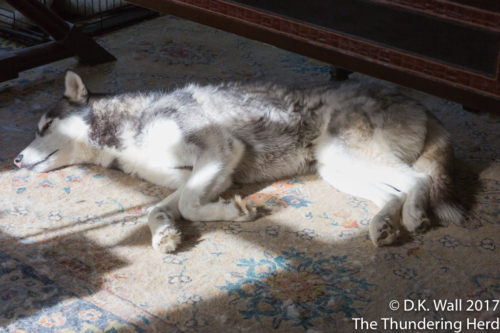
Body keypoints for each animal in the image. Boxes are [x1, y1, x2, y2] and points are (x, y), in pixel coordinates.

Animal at [13, 70, 462, 252]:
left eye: (44, 125)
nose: (14, 160)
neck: (125, 131)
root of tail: (419, 102)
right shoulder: (205, 174)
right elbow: (155, 210)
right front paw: (165, 235)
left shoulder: (217, 149)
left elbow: (191, 204)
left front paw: (235, 213)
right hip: (335, 166)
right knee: (391, 193)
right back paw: (384, 225)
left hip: (345, 154)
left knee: (418, 181)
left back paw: (416, 216)